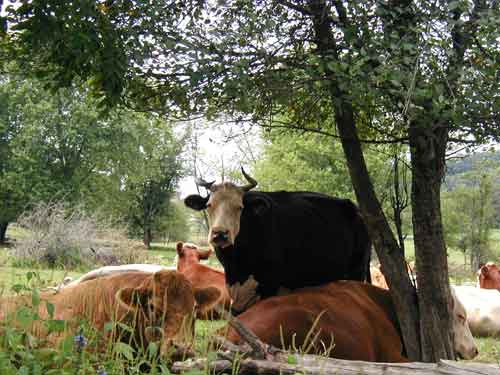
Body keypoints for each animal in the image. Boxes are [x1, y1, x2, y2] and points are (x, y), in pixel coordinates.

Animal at [184, 168, 372, 314]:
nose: (220, 234)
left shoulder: (270, 286)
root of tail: (356, 210)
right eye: (209, 205)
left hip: (357, 272)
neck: (238, 264)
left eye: (239, 207)